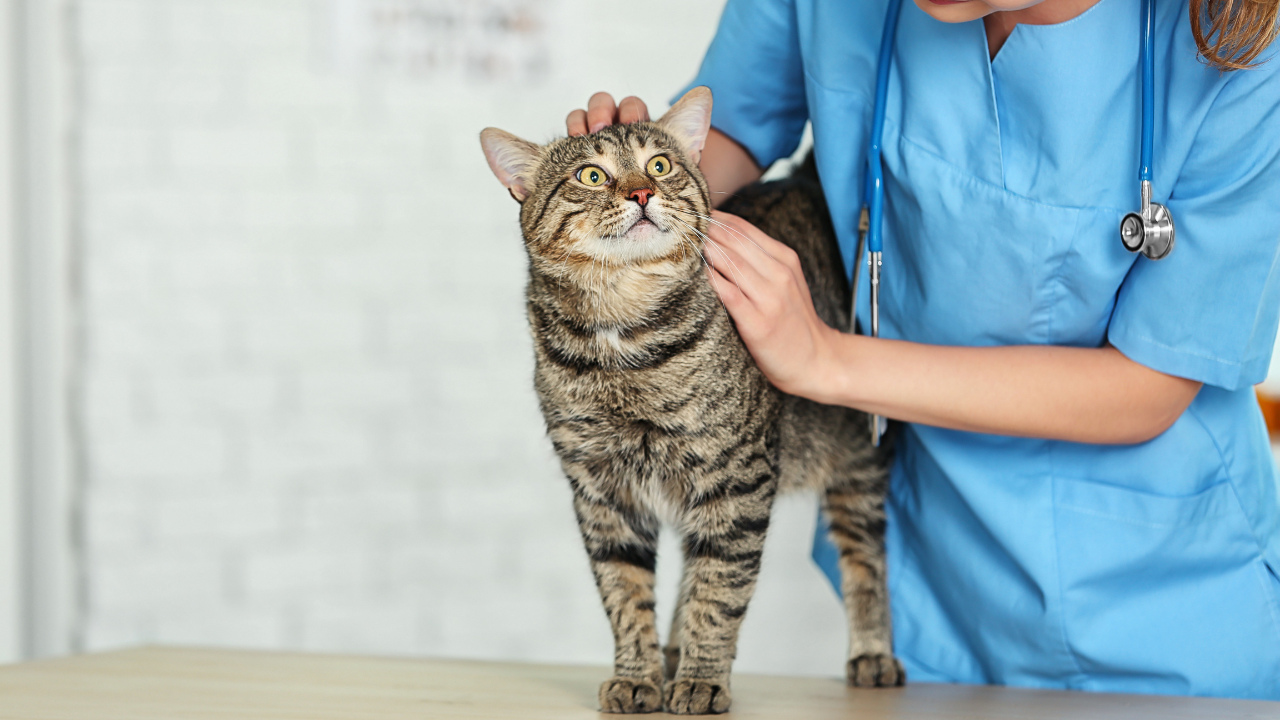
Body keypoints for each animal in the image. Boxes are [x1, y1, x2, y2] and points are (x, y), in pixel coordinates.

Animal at [481, 85, 901, 712]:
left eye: (659, 165)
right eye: (591, 175)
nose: (641, 191)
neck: (622, 334)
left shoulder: (737, 480)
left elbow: (719, 589)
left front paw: (703, 679)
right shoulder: (602, 492)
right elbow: (625, 594)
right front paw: (639, 676)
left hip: (859, 458)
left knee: (864, 553)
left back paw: (871, 652)